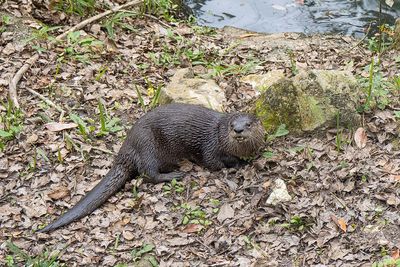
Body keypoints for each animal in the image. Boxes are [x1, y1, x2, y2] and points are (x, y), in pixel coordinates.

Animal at [39, 103, 266, 233]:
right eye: (232, 125)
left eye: (248, 124)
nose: (238, 130)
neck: (223, 139)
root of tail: (126, 149)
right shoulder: (210, 147)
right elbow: (214, 163)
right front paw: (236, 165)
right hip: (147, 145)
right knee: (148, 174)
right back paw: (175, 175)